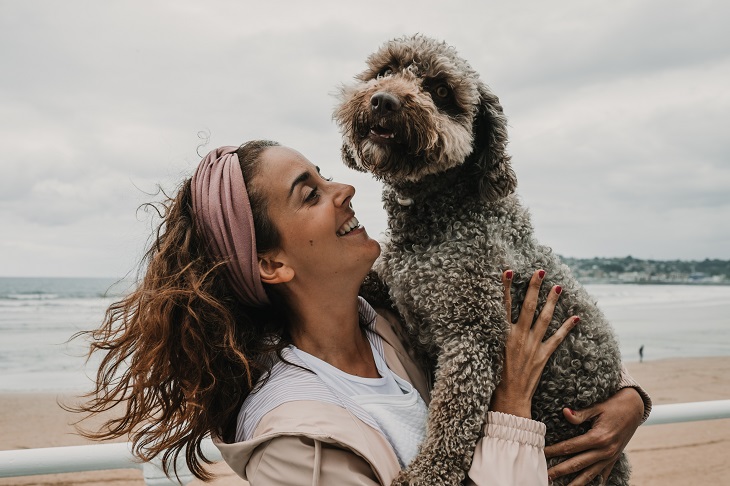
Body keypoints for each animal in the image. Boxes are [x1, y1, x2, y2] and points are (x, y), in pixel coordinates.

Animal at [332, 35, 628, 486]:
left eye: (440, 90)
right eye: (385, 70)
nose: (383, 101)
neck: (438, 214)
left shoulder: (471, 334)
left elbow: (453, 419)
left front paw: (428, 473)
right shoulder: (398, 283)